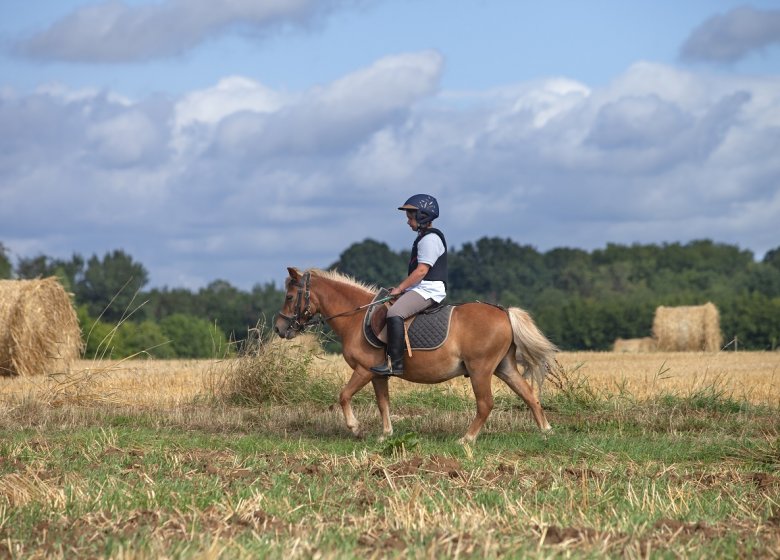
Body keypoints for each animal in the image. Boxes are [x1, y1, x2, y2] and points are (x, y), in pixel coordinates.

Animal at [274, 266, 556, 442]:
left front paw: (355, 429)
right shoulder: (378, 374)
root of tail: (504, 312)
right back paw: (545, 431)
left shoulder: (364, 371)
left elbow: (343, 395)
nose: (279, 328)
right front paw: (385, 435)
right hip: (503, 367)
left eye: (289, 296)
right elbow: (383, 403)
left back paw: (466, 439)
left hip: (480, 370)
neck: (355, 317)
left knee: (486, 404)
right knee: (529, 395)